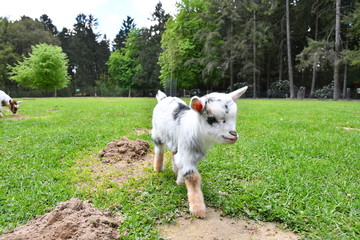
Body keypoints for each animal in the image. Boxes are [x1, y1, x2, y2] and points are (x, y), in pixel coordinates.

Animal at [150, 87, 248, 218]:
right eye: (211, 118)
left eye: (234, 117)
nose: (233, 135)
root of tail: (163, 98)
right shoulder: (187, 153)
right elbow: (193, 177)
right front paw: (198, 210)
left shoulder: (189, 153)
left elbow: (183, 168)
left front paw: (179, 182)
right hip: (157, 134)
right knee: (159, 151)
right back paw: (158, 169)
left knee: (173, 154)